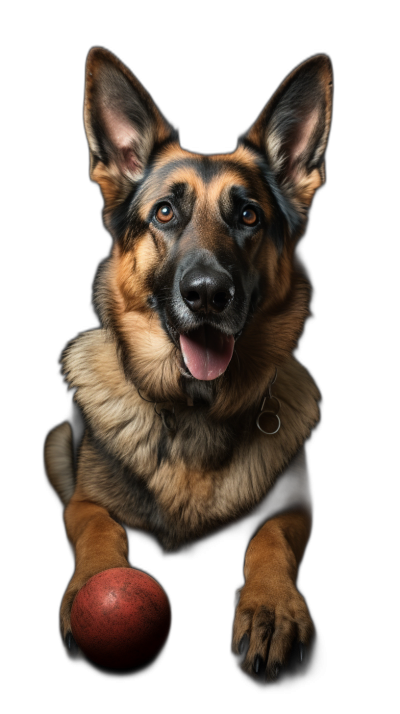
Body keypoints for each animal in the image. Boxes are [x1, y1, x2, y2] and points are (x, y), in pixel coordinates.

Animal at [44, 47, 332, 680]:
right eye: (165, 213)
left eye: (248, 216)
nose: (207, 294)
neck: (197, 406)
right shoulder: (83, 504)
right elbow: (100, 530)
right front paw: (93, 588)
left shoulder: (297, 507)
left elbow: (269, 540)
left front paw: (271, 608)